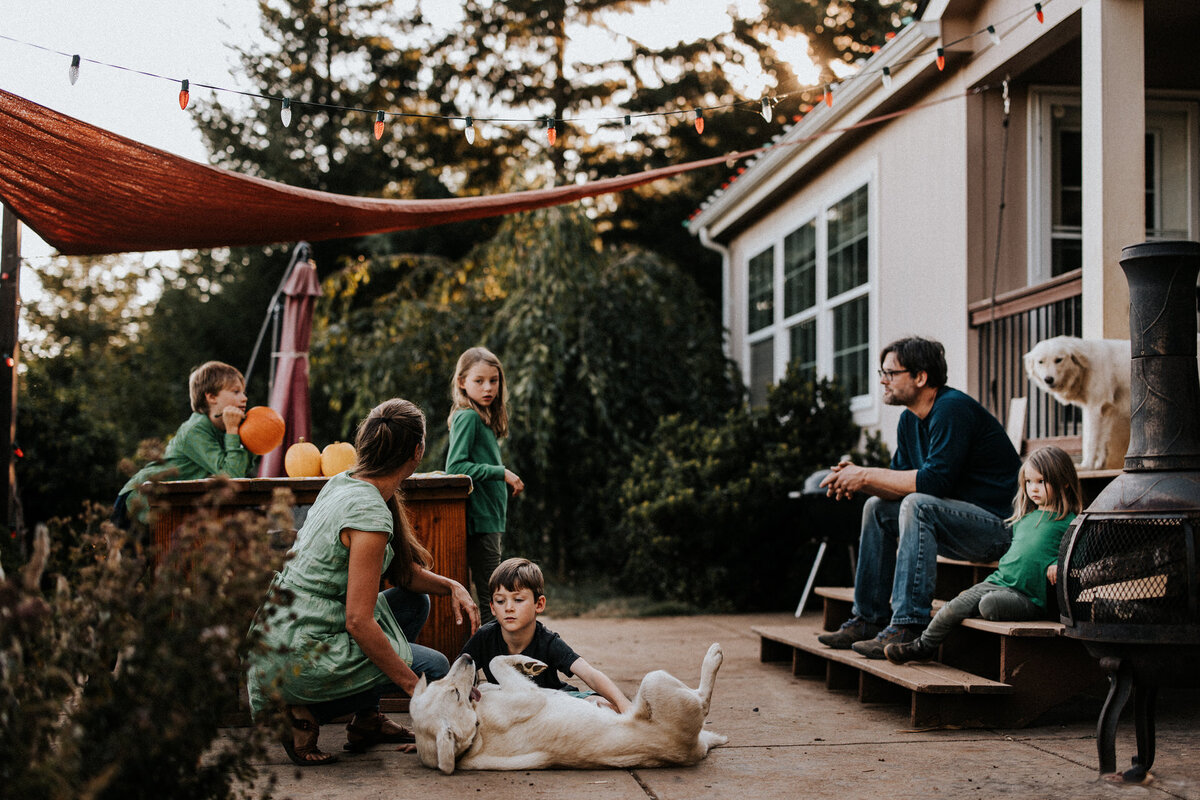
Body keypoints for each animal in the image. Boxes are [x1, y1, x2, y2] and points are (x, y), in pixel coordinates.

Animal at [408, 642, 724, 767]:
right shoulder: (529, 696)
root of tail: (694, 749)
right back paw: (714, 656)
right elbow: (497, 661)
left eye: (438, 684)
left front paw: (527, 663)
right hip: (654, 680)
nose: (466, 657)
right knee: (703, 700)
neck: (477, 726)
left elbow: (499, 660)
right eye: (455, 695)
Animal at [1022, 335, 1123, 470]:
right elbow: (1101, 440)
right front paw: (1098, 465)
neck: (1086, 367)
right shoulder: (1105, 410)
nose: (1048, 379)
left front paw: (1086, 465)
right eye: (1041, 362)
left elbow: (1090, 440)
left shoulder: (1094, 408)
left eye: (1058, 360)